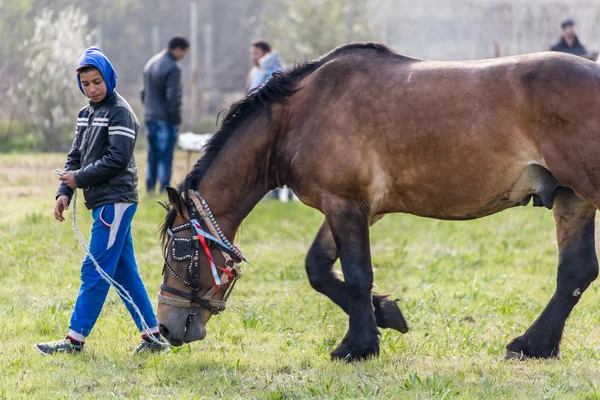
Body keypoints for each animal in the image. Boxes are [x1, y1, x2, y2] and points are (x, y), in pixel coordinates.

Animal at [158, 43, 600, 362]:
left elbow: (356, 275)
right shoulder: (354, 208)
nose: (164, 328)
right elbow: (319, 269)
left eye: (181, 252)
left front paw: (358, 345)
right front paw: (386, 314)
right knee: (575, 273)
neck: (302, 112)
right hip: (572, 199)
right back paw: (535, 345)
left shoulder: (345, 204)